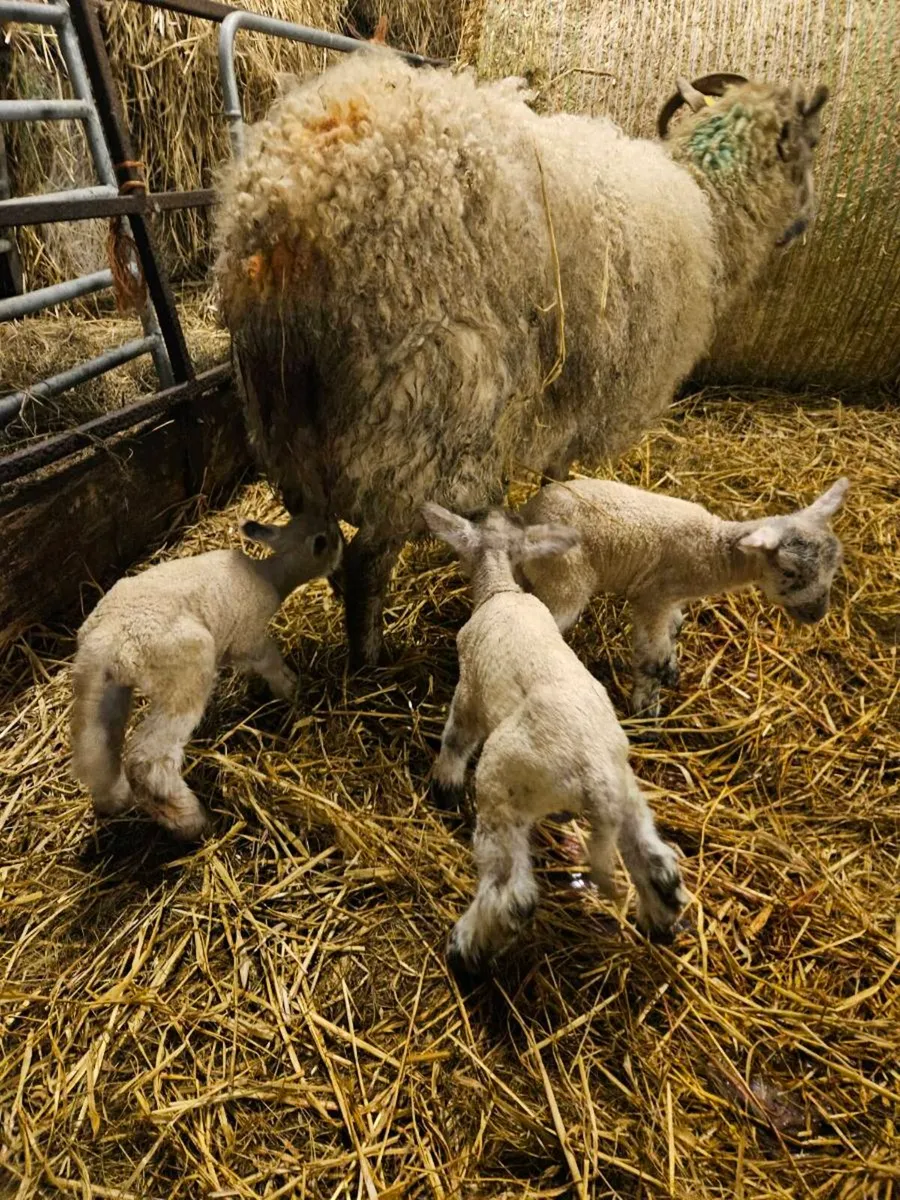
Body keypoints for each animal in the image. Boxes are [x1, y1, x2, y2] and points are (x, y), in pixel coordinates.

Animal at [70, 514, 342, 840]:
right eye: (325, 539)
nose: (342, 534)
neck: (270, 575)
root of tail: (106, 639)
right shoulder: (251, 640)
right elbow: (272, 664)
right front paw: (291, 689)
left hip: (104, 688)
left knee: (96, 753)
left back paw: (114, 800)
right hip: (187, 670)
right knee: (147, 761)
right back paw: (194, 822)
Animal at [213, 49, 829, 669]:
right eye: (812, 144)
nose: (802, 227)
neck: (710, 206)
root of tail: (290, 202)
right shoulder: (597, 384)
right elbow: (562, 466)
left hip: (283, 418)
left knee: (320, 534)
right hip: (426, 403)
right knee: (369, 558)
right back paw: (372, 660)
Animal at [422, 502, 688, 978]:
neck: (501, 589)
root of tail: (594, 779)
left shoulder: (469, 689)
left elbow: (455, 737)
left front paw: (444, 784)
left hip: (501, 789)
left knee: (513, 895)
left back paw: (465, 950)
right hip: (624, 789)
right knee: (658, 866)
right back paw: (659, 923)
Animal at [519, 477, 849, 717]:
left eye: (834, 566)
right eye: (789, 571)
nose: (818, 615)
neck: (713, 549)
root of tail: (528, 512)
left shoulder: (671, 601)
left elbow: (675, 629)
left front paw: (671, 671)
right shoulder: (653, 597)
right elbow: (652, 656)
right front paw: (647, 707)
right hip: (565, 579)